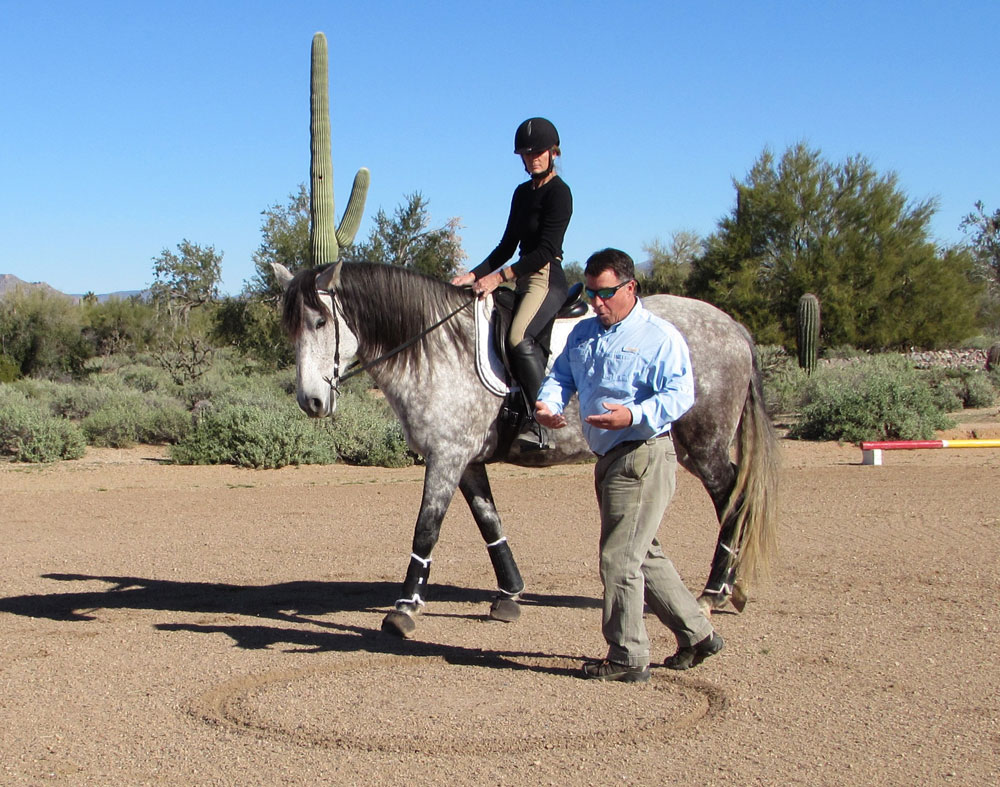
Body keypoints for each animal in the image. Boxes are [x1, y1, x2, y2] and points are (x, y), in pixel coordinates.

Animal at [276, 262, 780, 636]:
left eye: (320, 321)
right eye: (291, 329)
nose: (311, 402)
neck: (437, 346)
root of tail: (732, 327)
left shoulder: (446, 458)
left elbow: (426, 529)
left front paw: (405, 607)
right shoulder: (466, 460)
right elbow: (489, 524)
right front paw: (510, 594)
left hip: (703, 442)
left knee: (733, 499)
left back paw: (715, 591)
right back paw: (729, 589)